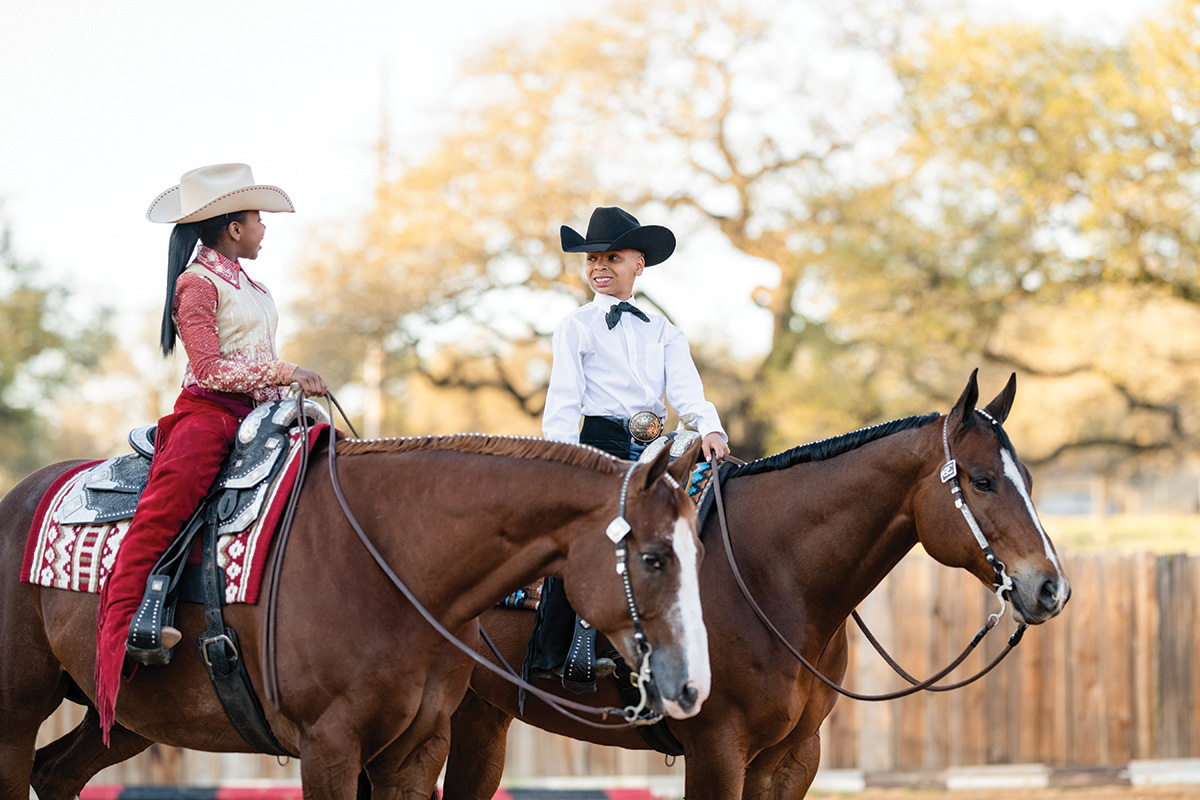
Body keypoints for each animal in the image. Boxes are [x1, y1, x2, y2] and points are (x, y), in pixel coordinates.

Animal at [2, 431, 710, 800]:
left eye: (699, 551)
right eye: (652, 558)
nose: (691, 685)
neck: (389, 564)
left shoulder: (414, 753)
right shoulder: (329, 749)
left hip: (123, 716)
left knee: (57, 774)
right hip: (18, 712)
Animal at [439, 374, 1070, 800]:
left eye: (1028, 478)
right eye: (982, 481)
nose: (1050, 589)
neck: (772, 578)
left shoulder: (792, 759)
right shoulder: (717, 750)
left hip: (481, 719)